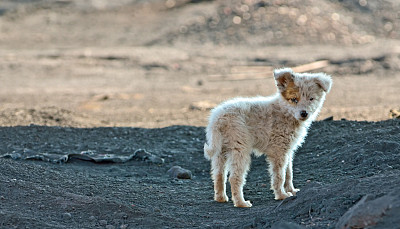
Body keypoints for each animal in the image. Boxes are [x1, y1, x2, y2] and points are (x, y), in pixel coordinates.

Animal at [203, 67, 332, 208]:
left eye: (311, 99)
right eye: (294, 99)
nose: (304, 113)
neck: (286, 112)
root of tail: (218, 118)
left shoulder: (287, 150)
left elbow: (289, 173)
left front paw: (291, 191)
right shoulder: (278, 151)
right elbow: (280, 175)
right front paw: (282, 195)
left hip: (220, 150)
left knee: (218, 175)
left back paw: (220, 198)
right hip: (240, 148)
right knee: (234, 177)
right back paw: (241, 203)